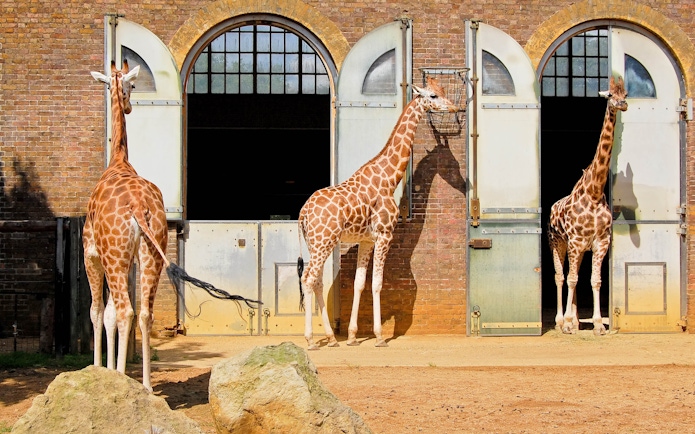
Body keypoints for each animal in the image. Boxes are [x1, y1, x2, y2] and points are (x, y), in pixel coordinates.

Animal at [86, 61, 259, 390]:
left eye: (133, 85)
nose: (129, 106)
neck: (118, 161)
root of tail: (137, 207)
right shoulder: (128, 259)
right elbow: (109, 312)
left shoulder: (92, 254)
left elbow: (99, 311)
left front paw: (101, 370)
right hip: (151, 253)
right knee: (145, 313)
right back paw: (146, 386)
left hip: (116, 256)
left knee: (125, 310)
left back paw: (127, 381)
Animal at [297, 77, 458, 350]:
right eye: (433, 96)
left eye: (444, 91)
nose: (455, 107)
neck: (389, 178)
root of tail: (303, 213)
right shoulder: (385, 235)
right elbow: (378, 284)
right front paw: (380, 336)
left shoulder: (367, 240)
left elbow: (360, 283)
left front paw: (352, 336)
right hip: (323, 242)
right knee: (308, 279)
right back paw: (310, 340)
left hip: (317, 244)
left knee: (315, 280)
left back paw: (332, 338)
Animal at [548, 75, 628, 336]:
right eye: (610, 95)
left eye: (626, 94)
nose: (623, 104)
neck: (594, 192)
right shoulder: (574, 242)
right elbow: (571, 279)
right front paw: (567, 324)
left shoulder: (600, 242)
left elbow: (595, 280)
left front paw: (598, 325)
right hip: (558, 243)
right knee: (561, 276)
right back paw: (561, 321)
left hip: (580, 249)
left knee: (575, 275)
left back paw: (575, 321)